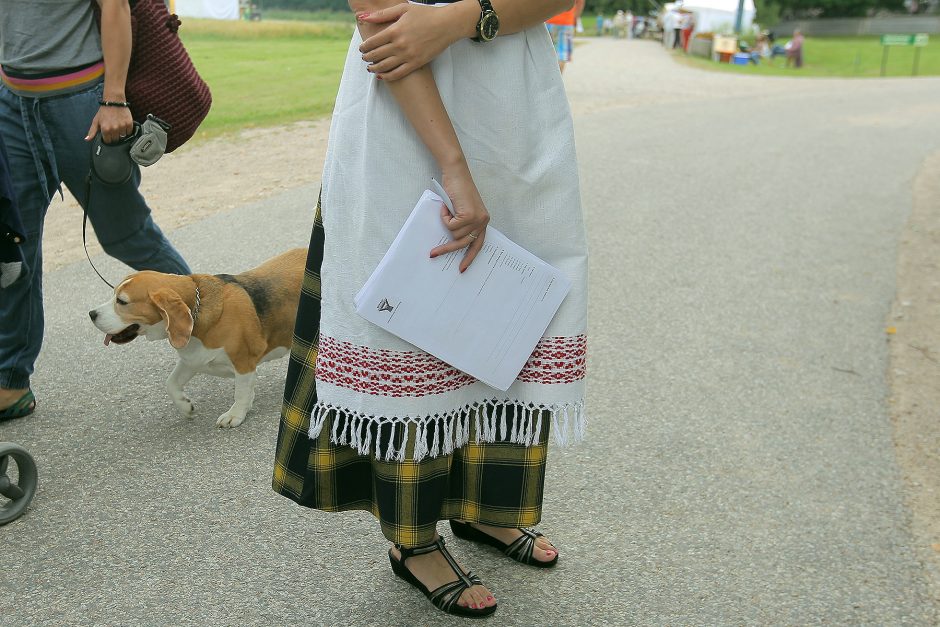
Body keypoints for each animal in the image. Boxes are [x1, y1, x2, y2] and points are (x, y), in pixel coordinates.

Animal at [90, 248, 306, 430]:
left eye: (122, 301)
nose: (91, 314)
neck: (197, 308)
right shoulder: (193, 359)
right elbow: (171, 383)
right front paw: (185, 406)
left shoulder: (243, 362)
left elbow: (241, 392)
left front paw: (235, 414)